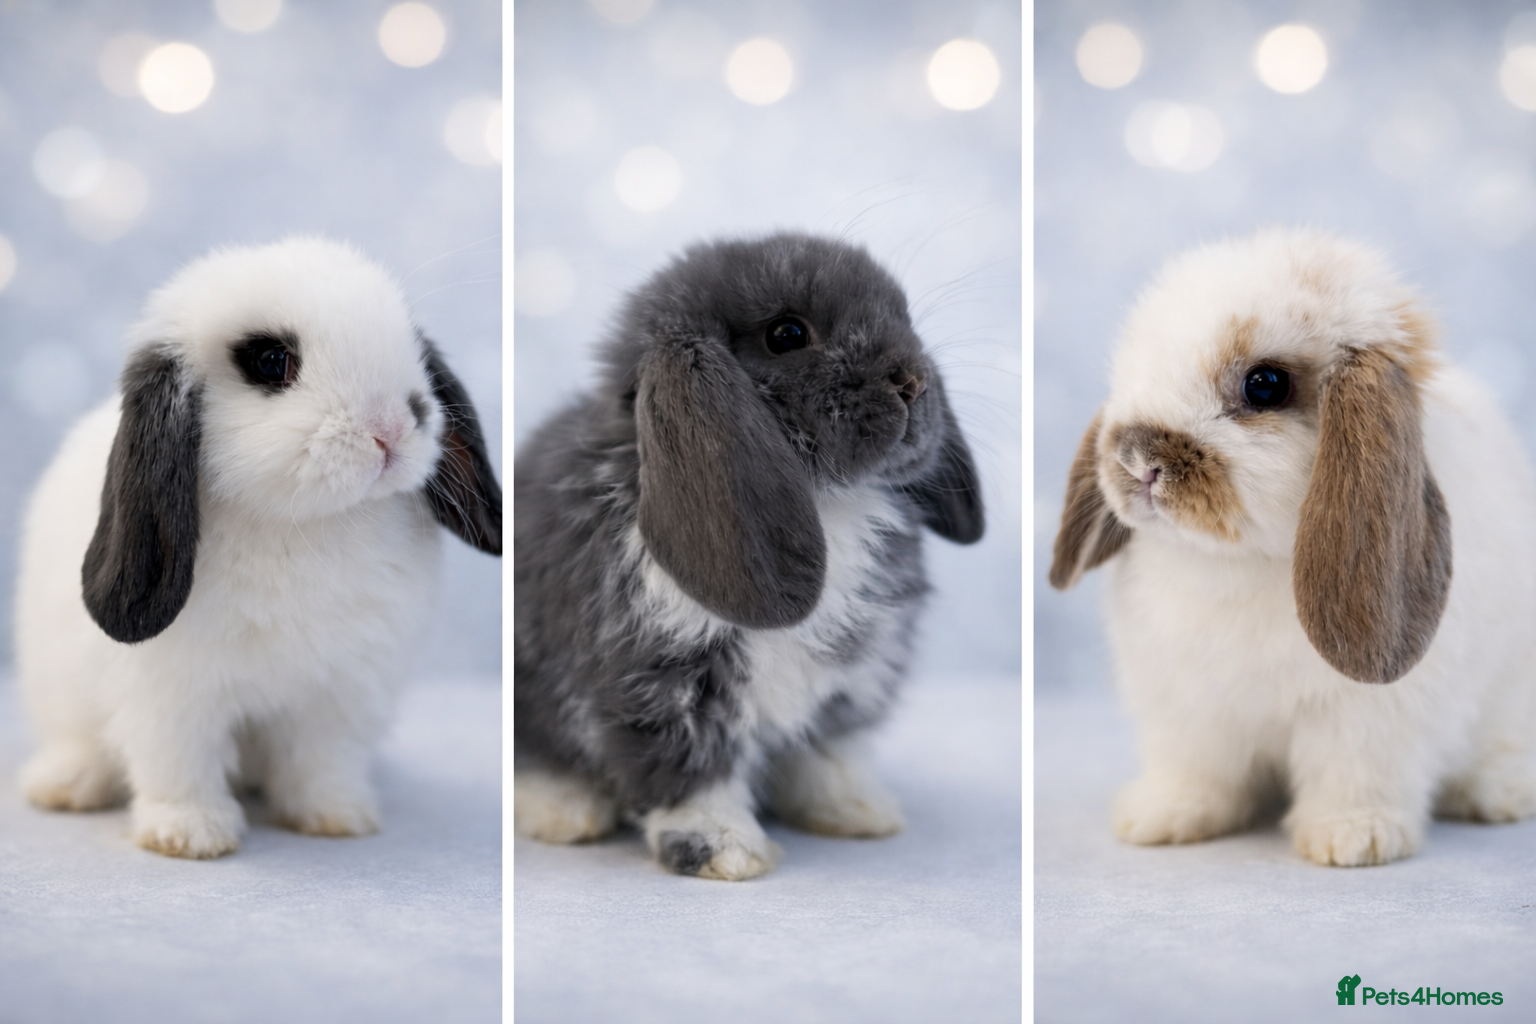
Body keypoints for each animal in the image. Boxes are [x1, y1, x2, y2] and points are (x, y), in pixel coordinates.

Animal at [15, 237, 501, 859]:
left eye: (414, 346)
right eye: (271, 360)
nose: (394, 426)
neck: (305, 524)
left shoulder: (337, 696)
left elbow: (321, 762)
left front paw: (338, 817)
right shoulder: (171, 698)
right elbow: (179, 764)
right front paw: (191, 835)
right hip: (58, 693)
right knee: (80, 742)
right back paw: (63, 786)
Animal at [513, 232, 984, 880]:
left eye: (903, 314)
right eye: (786, 335)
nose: (913, 380)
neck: (828, 502)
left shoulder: (849, 678)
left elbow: (827, 750)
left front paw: (859, 812)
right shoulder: (658, 687)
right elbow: (689, 773)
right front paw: (728, 853)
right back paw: (565, 812)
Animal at [1049, 227, 1536, 867]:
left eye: (1266, 385)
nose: (1137, 461)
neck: (1242, 562)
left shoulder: (1368, 715)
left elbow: (1354, 773)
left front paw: (1353, 839)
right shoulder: (1189, 707)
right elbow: (1195, 770)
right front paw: (1160, 819)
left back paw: (1498, 794)